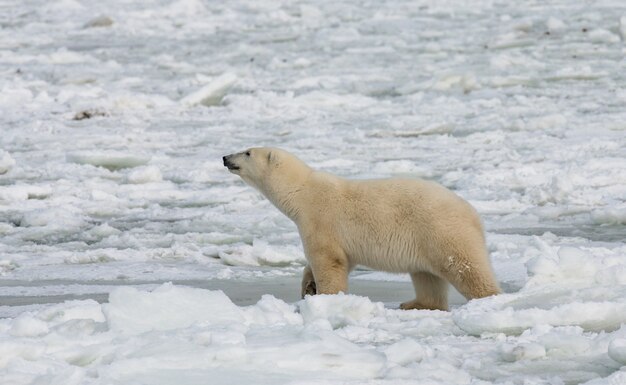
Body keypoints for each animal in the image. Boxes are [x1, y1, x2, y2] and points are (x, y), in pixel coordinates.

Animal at [222, 146, 500, 308]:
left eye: (247, 152)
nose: (225, 157)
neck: (302, 192)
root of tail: (473, 213)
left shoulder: (320, 219)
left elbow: (328, 260)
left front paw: (326, 299)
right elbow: (334, 261)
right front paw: (308, 288)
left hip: (442, 231)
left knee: (465, 268)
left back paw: (487, 299)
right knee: (426, 277)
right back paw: (414, 303)